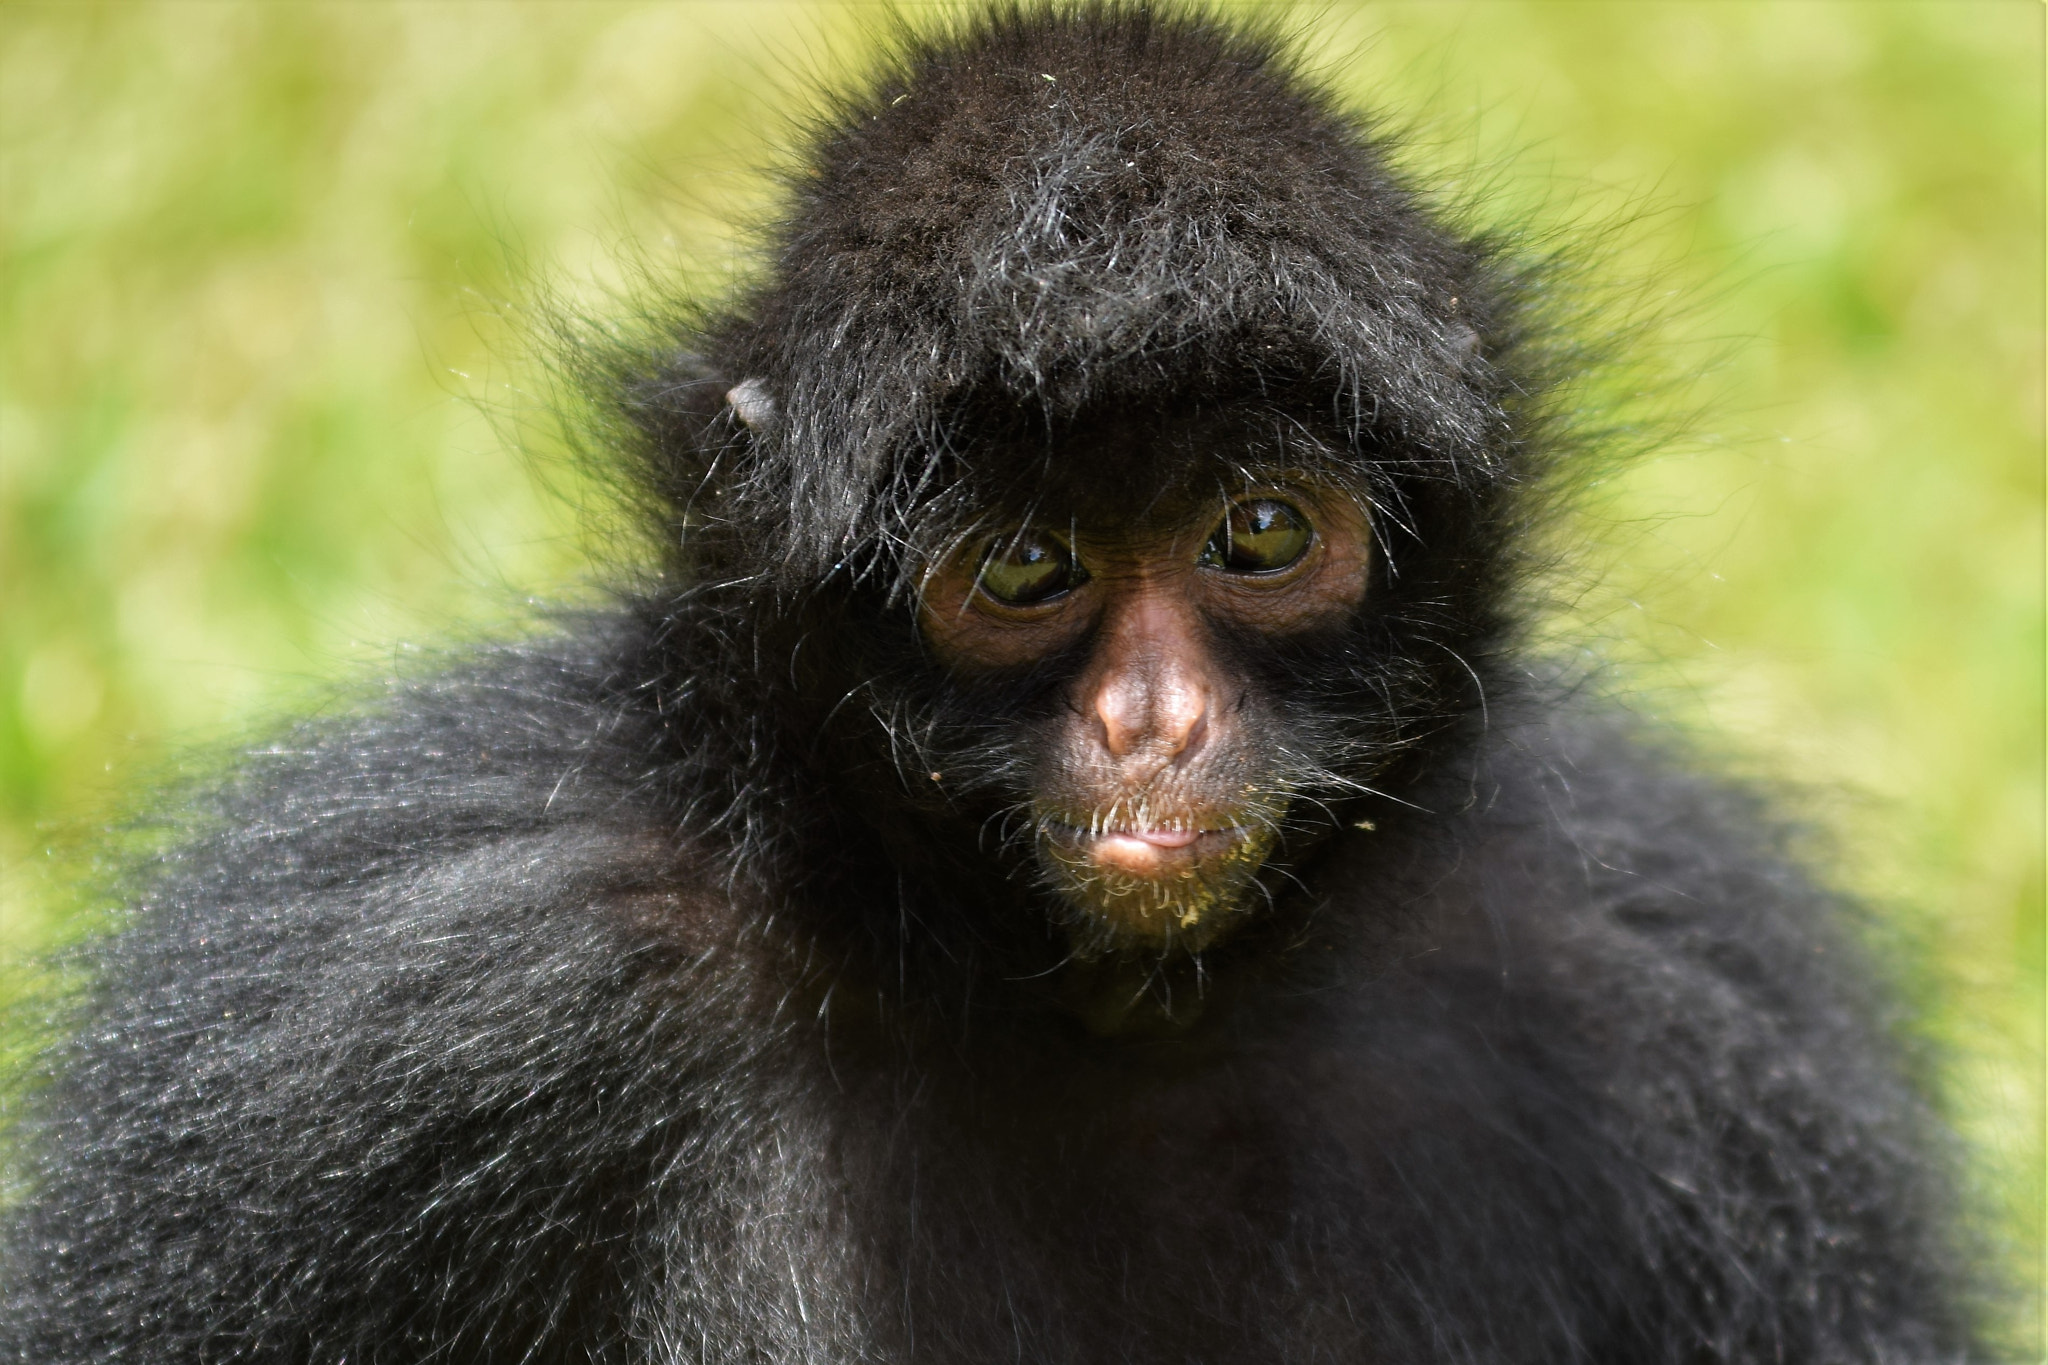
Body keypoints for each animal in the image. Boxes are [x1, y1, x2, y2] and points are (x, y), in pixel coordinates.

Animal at [0, 4, 1987, 1361]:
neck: (1080, 1024)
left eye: (1261, 533)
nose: (1152, 723)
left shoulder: (1686, 1000)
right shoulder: (404, 982)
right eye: (1026, 572)